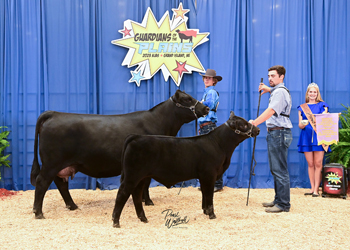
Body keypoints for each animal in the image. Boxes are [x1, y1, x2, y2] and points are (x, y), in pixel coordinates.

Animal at [30, 90, 208, 219]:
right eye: (187, 99)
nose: (206, 108)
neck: (160, 123)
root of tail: (54, 113)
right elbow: (146, 184)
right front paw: (148, 201)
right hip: (52, 163)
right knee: (42, 182)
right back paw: (38, 213)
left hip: (61, 164)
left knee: (61, 184)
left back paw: (72, 206)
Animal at [112, 110, 260, 228]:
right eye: (244, 124)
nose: (257, 130)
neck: (219, 145)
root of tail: (135, 137)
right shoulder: (209, 174)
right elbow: (209, 195)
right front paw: (212, 214)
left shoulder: (203, 176)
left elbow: (204, 194)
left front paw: (205, 211)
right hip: (132, 175)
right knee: (122, 194)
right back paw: (116, 222)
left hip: (141, 177)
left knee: (136, 194)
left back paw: (143, 218)